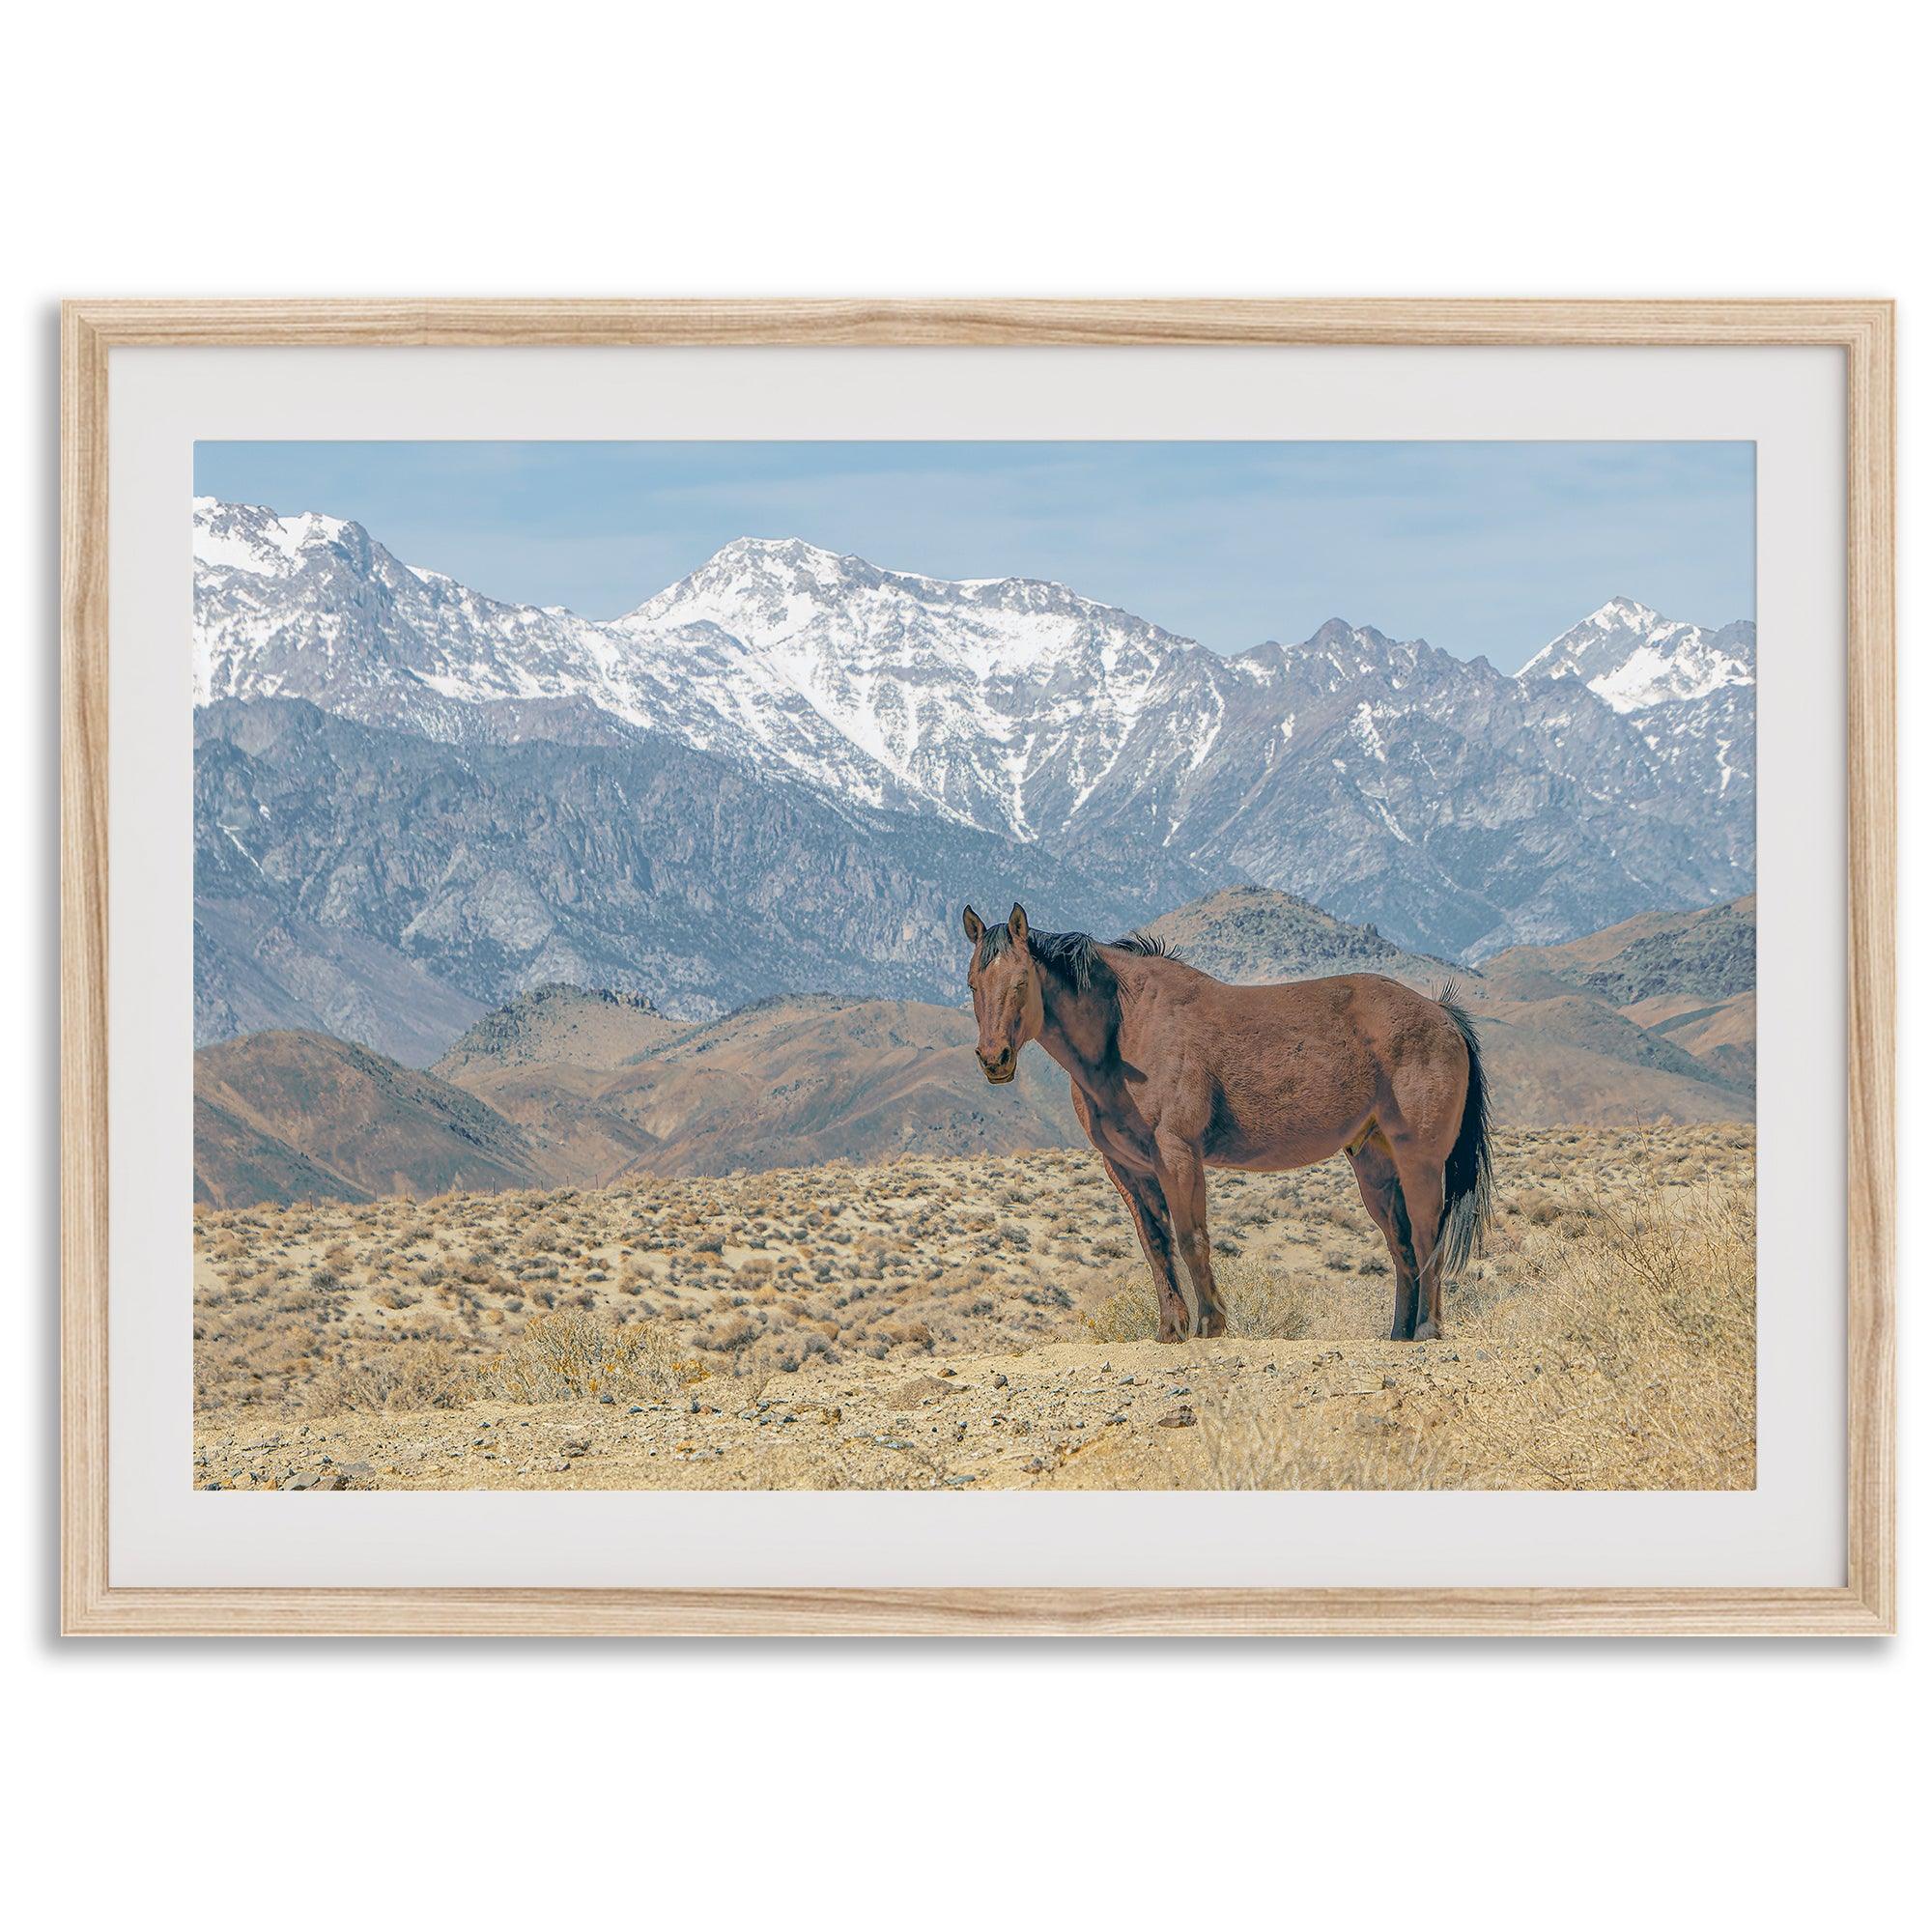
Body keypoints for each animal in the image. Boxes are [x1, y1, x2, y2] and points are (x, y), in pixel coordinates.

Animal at [966, 904, 1492, 1345]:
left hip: (1419, 1159)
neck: (1128, 1027)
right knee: (1401, 1244)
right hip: (1374, 1163)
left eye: (1020, 982)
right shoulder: (1126, 1167)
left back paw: (1428, 1330)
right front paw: (1170, 1330)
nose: (994, 1060)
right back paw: (1400, 1334)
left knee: (1426, 1234)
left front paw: (1210, 1324)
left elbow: (1191, 1238)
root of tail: (1443, 1016)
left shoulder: (1177, 1154)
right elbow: (1155, 1244)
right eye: (973, 983)